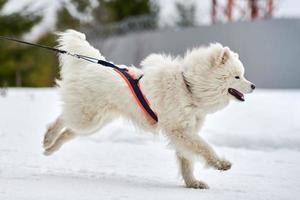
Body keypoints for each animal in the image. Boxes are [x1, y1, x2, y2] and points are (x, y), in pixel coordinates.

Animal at [44, 29, 255, 189]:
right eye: (237, 76)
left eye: (243, 75)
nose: (253, 86)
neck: (188, 87)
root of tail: (90, 65)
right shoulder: (180, 130)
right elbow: (204, 147)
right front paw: (221, 164)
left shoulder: (184, 132)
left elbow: (187, 161)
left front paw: (193, 183)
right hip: (87, 118)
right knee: (62, 118)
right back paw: (48, 138)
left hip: (95, 123)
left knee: (69, 131)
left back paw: (50, 149)